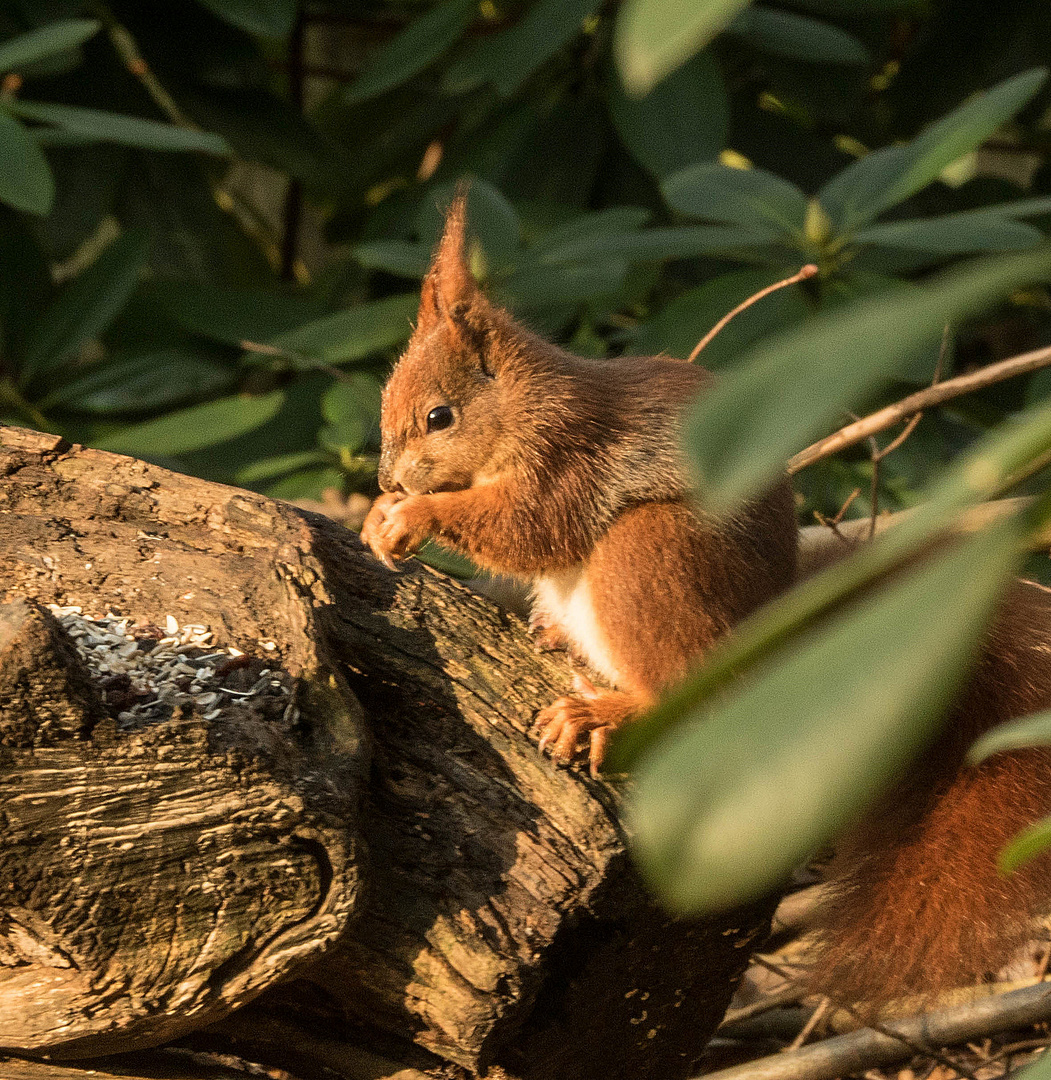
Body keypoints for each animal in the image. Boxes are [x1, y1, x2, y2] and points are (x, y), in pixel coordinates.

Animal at [358, 192, 1049, 1002]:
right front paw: (379, 517)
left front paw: (414, 517)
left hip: (649, 556)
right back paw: (555, 639)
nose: (387, 479)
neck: (525, 405)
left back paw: (606, 712)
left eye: (440, 417)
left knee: (683, 687)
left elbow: (527, 528)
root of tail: (759, 637)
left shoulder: (569, 459)